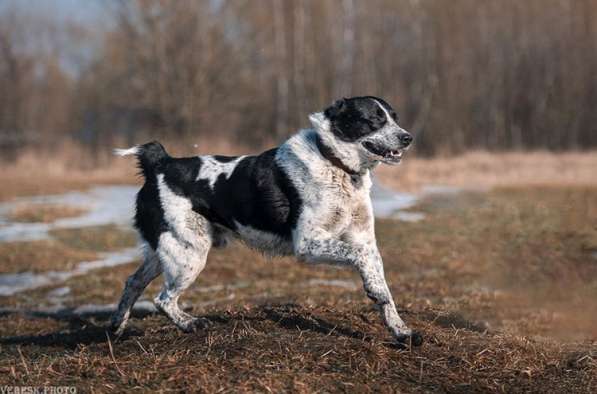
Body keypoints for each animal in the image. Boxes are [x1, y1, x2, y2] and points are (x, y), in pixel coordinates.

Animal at [112, 95, 420, 344]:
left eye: (394, 117)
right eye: (374, 119)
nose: (408, 138)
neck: (335, 163)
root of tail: (161, 163)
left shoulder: (364, 239)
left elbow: (380, 282)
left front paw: (400, 330)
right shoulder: (308, 243)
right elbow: (362, 261)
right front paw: (377, 296)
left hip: (166, 249)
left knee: (133, 282)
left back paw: (117, 327)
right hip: (188, 252)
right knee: (162, 299)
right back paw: (190, 323)